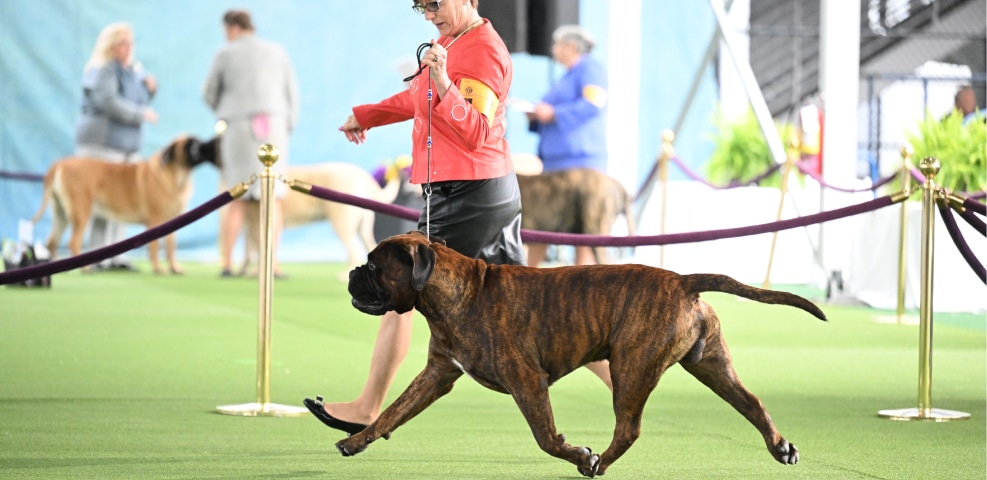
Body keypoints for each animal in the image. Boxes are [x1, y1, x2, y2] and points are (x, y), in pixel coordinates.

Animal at [32, 137, 220, 276]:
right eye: (190, 145)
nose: (206, 145)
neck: (176, 175)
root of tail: (60, 163)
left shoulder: (172, 222)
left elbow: (171, 248)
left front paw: (174, 267)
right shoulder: (155, 220)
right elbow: (155, 247)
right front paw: (158, 269)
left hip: (61, 214)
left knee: (52, 242)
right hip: (81, 212)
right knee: (73, 242)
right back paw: (84, 268)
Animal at [241, 163, 400, 280]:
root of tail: (363, 176)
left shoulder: (257, 224)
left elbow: (257, 252)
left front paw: (255, 272)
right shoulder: (250, 226)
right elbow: (250, 252)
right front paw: (246, 271)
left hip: (341, 223)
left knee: (353, 250)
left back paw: (346, 275)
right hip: (363, 227)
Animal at [336, 232, 828, 476]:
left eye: (375, 266)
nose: (352, 272)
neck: (456, 292)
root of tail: (682, 281)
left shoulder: (527, 383)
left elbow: (546, 437)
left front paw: (581, 455)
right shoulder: (436, 375)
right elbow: (392, 413)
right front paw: (355, 440)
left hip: (630, 367)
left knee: (628, 428)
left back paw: (600, 464)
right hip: (712, 367)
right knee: (752, 403)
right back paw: (781, 448)